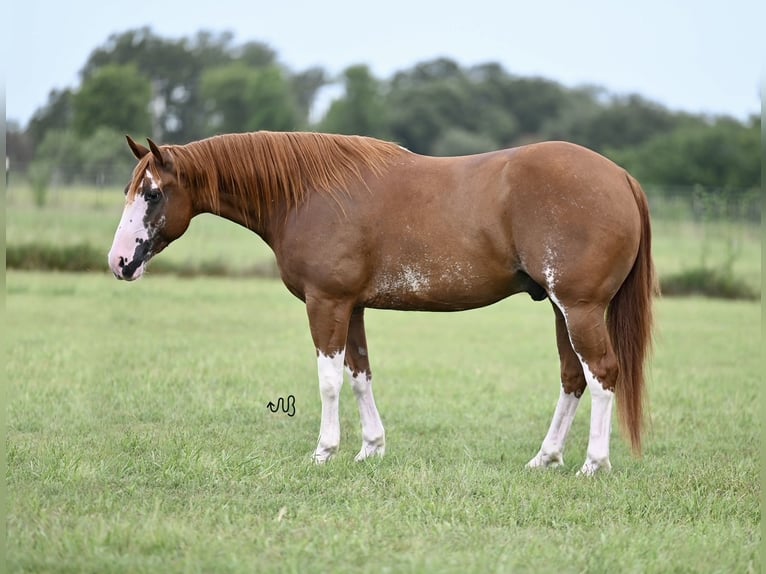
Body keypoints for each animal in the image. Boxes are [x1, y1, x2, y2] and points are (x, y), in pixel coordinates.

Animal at [108, 134, 656, 476]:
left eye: (151, 194)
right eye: (131, 190)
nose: (119, 261)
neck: (308, 193)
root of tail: (622, 177)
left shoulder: (326, 302)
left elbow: (329, 380)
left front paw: (325, 451)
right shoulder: (351, 306)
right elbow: (359, 375)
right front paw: (371, 449)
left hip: (580, 308)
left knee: (602, 374)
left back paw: (594, 464)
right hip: (562, 310)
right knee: (572, 378)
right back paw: (546, 458)